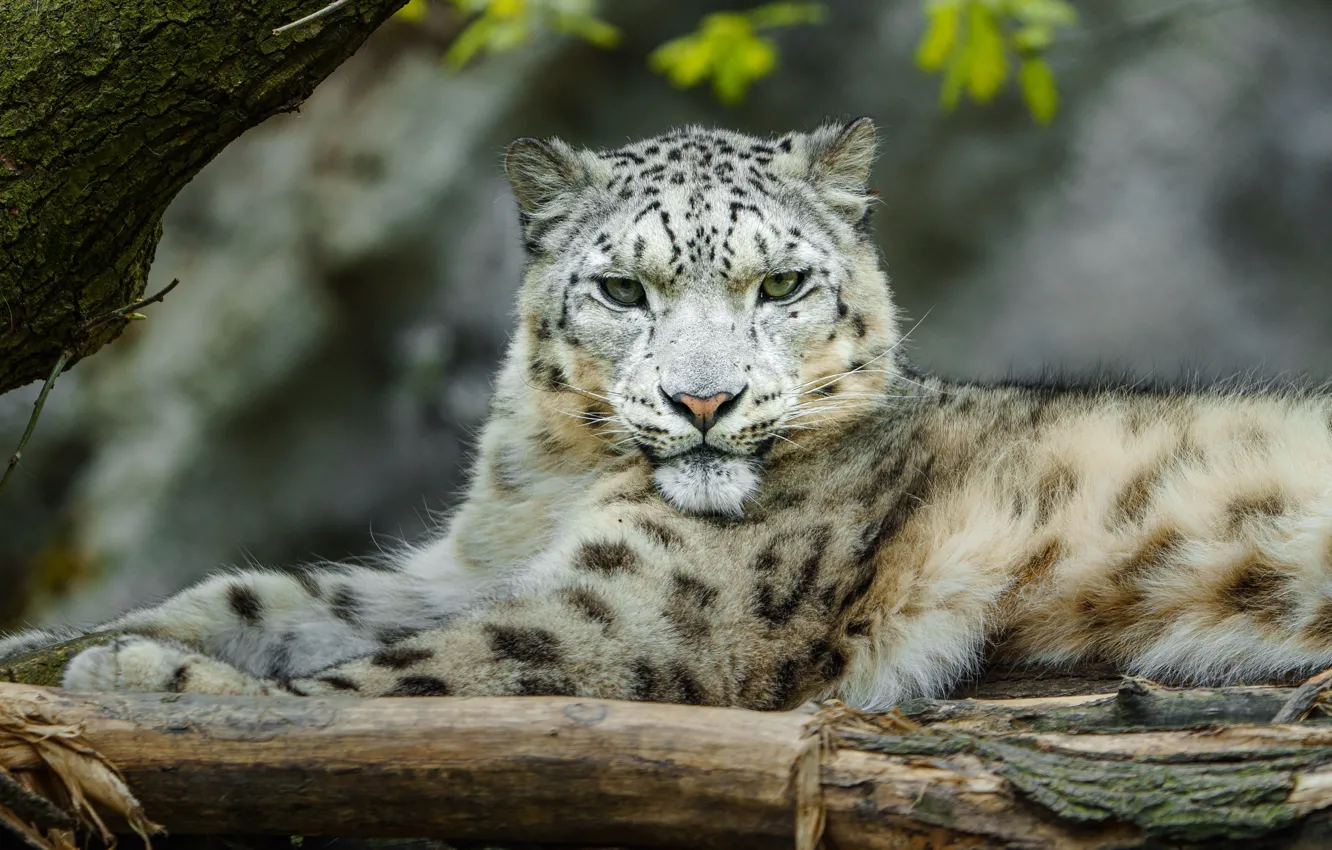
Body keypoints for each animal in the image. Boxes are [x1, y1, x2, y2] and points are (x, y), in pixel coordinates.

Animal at [7, 118, 1332, 711]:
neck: (550, 486)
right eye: (623, 288)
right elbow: (270, 599)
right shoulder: (461, 568)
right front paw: (69, 642)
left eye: (781, 284)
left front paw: (143, 675)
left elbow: (403, 675)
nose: (705, 398)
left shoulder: (637, 612)